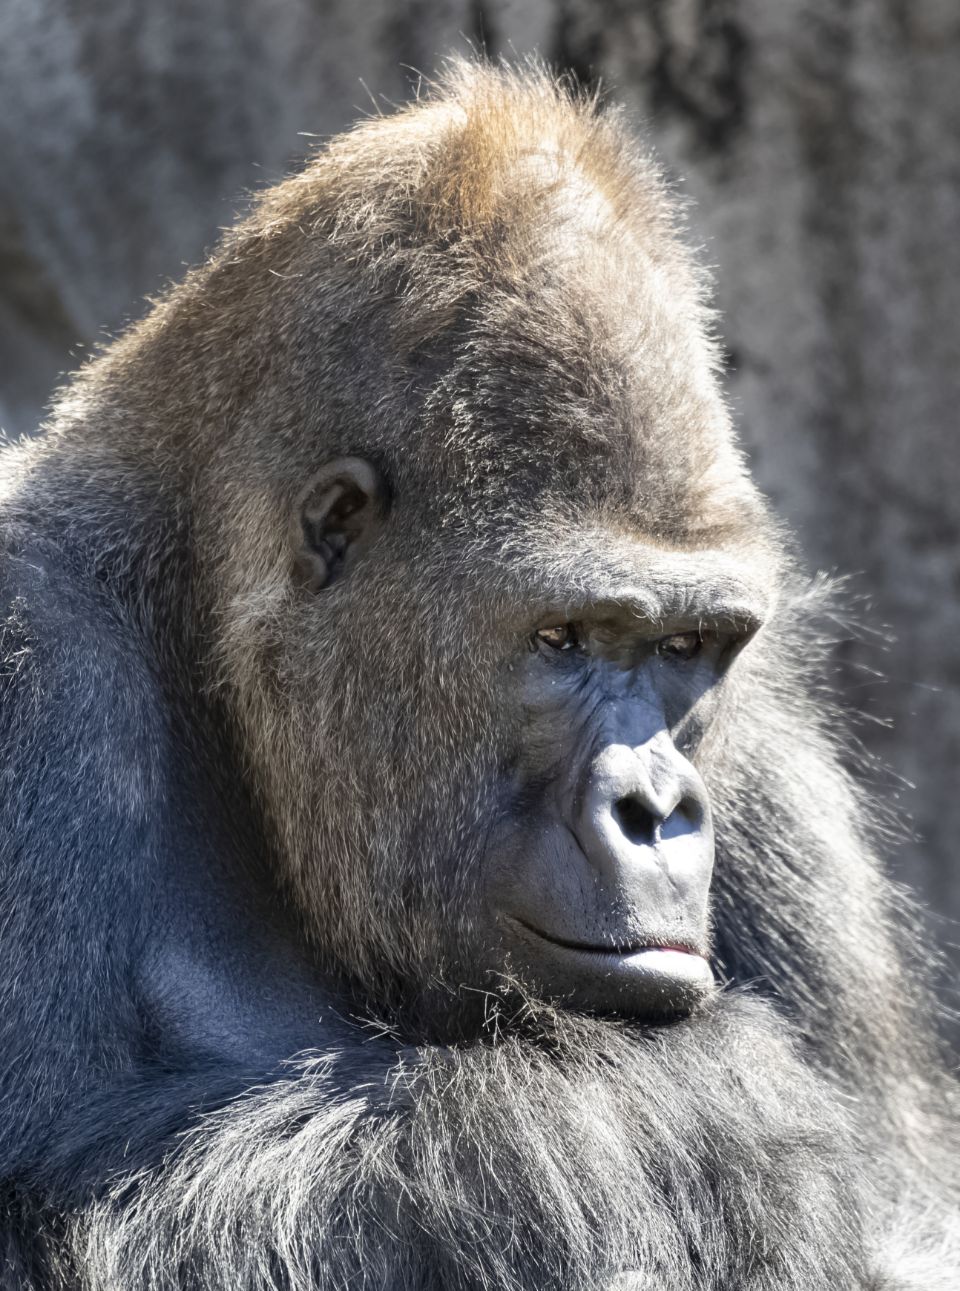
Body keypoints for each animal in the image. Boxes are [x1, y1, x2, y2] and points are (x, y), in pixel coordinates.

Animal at [0, 62, 956, 1291]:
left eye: (684, 648)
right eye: (564, 639)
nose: (657, 808)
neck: (196, 623)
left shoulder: (772, 752)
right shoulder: (34, 655)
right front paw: (680, 1123)